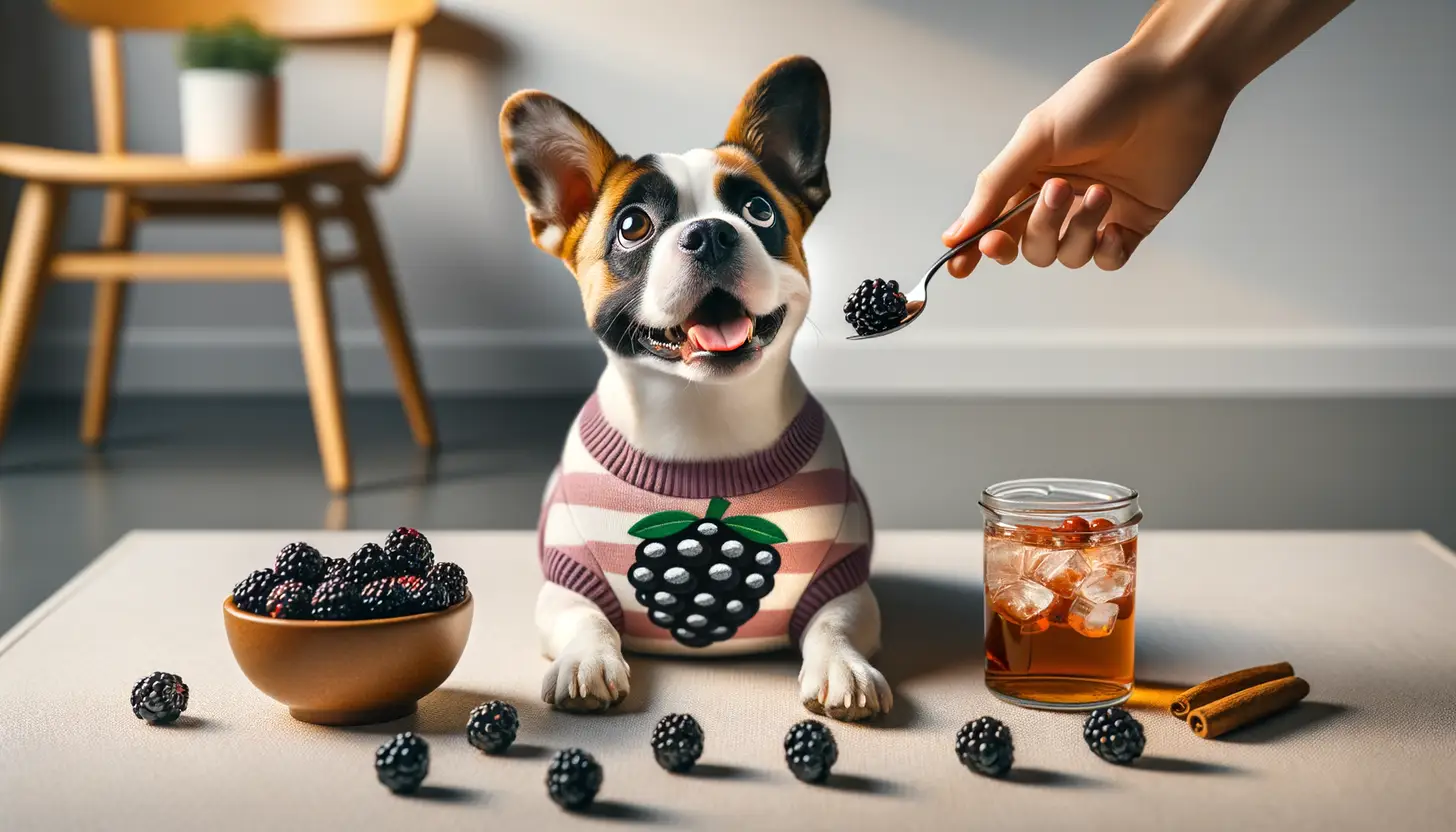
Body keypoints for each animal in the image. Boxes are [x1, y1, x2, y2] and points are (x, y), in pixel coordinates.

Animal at [497, 58, 885, 722]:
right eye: (633, 225)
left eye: (758, 210)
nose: (710, 233)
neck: (701, 410)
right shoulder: (566, 583)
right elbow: (585, 619)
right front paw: (588, 663)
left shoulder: (845, 579)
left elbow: (833, 622)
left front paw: (843, 668)